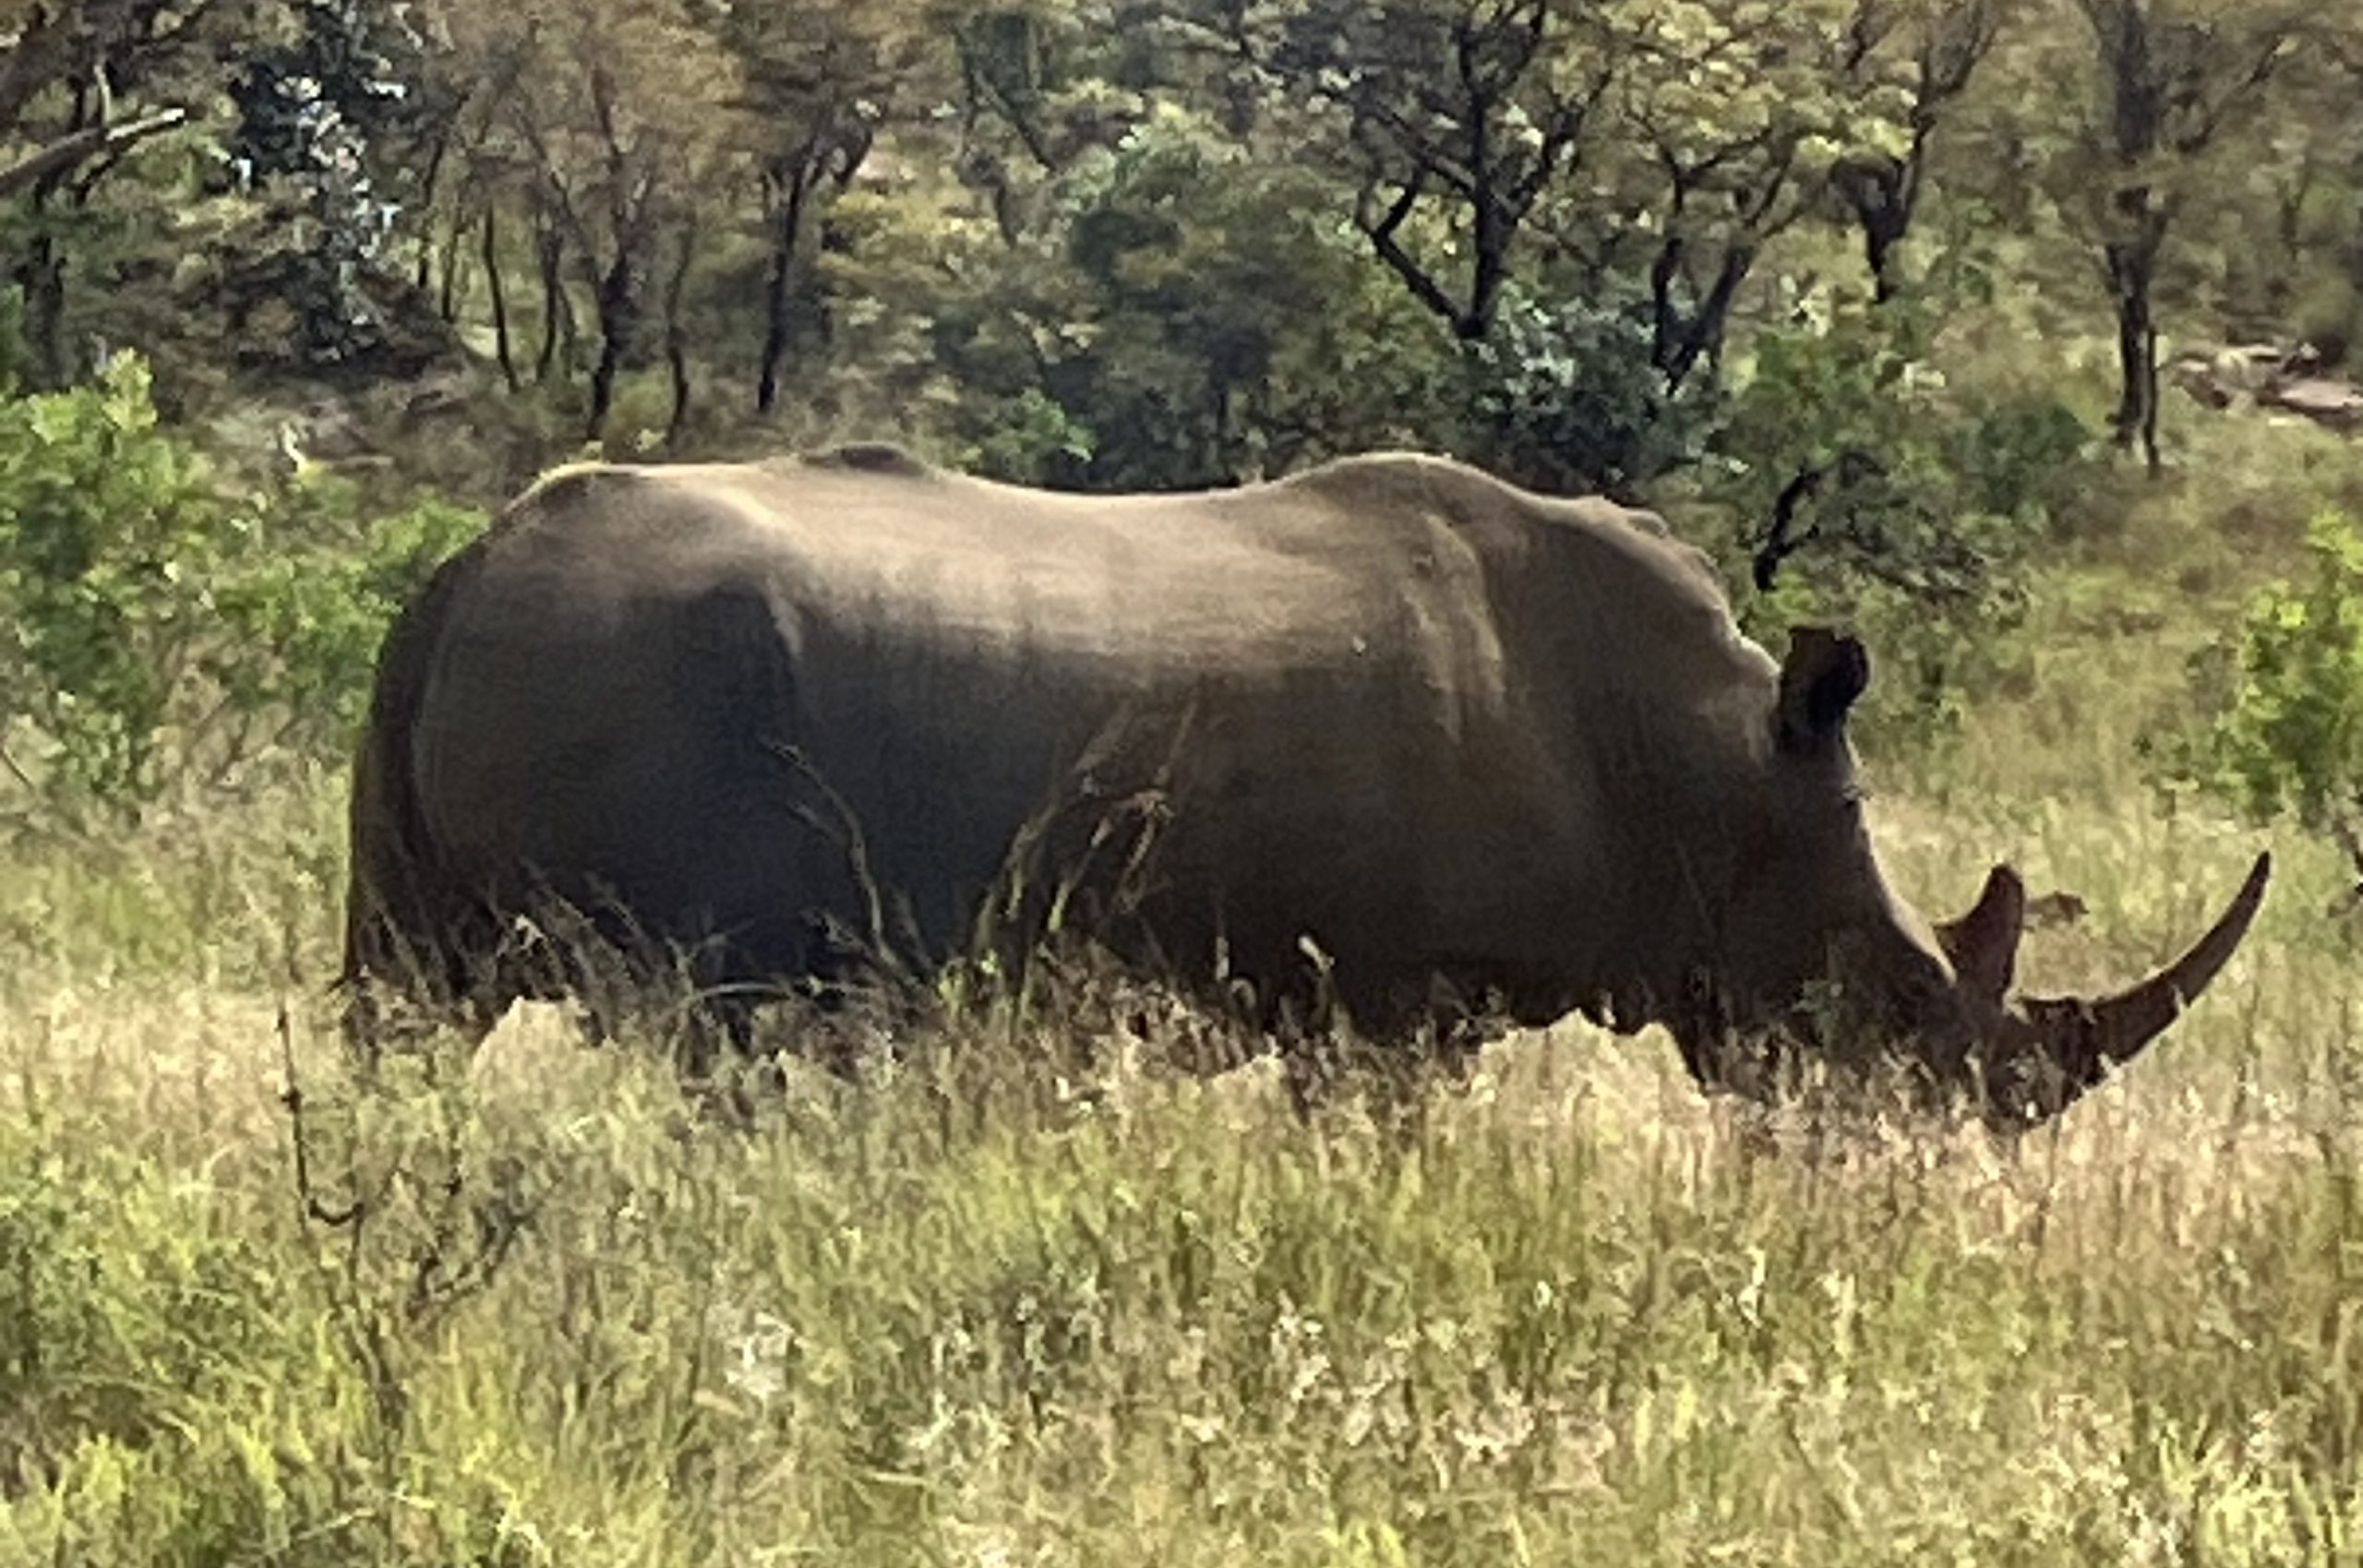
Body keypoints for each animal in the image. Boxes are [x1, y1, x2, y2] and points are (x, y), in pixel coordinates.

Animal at [342, 445, 2269, 1125]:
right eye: (1903, 1003)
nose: (1918, 1163)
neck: (1717, 770)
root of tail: (462, 564)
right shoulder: (1392, 1003)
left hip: (454, 721)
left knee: (412, 1003)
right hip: (647, 704)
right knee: (715, 1032)